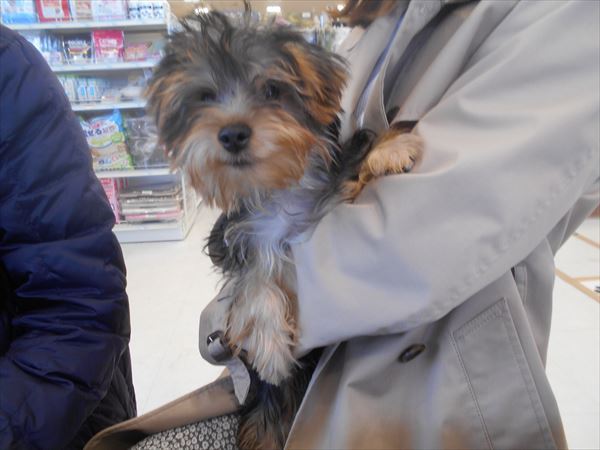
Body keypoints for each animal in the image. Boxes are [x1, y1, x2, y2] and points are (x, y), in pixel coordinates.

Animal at [146, 10, 422, 449]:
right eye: (205, 97)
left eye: (272, 90)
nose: (232, 133)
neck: (279, 187)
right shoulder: (237, 240)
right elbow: (256, 277)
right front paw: (271, 345)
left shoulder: (330, 196)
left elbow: (352, 162)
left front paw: (387, 148)